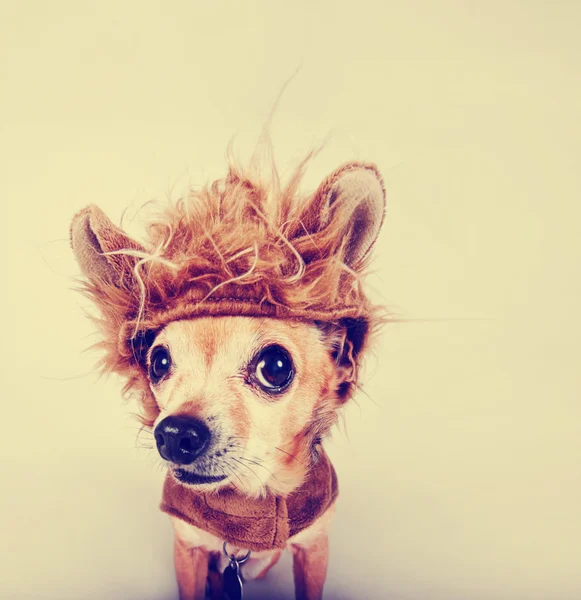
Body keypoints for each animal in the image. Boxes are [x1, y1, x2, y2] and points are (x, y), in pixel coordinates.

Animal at [69, 142, 386, 600]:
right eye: (158, 362)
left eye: (275, 367)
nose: (174, 433)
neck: (247, 510)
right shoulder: (188, 550)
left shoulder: (314, 549)